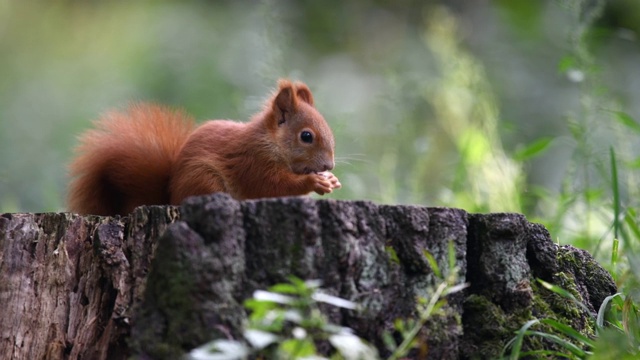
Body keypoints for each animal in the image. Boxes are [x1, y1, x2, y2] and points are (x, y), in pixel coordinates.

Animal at [66, 80, 340, 215]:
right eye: (306, 136)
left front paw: (330, 180)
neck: (272, 143)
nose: (329, 165)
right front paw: (315, 182)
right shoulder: (253, 162)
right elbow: (272, 186)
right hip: (204, 180)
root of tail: (170, 197)